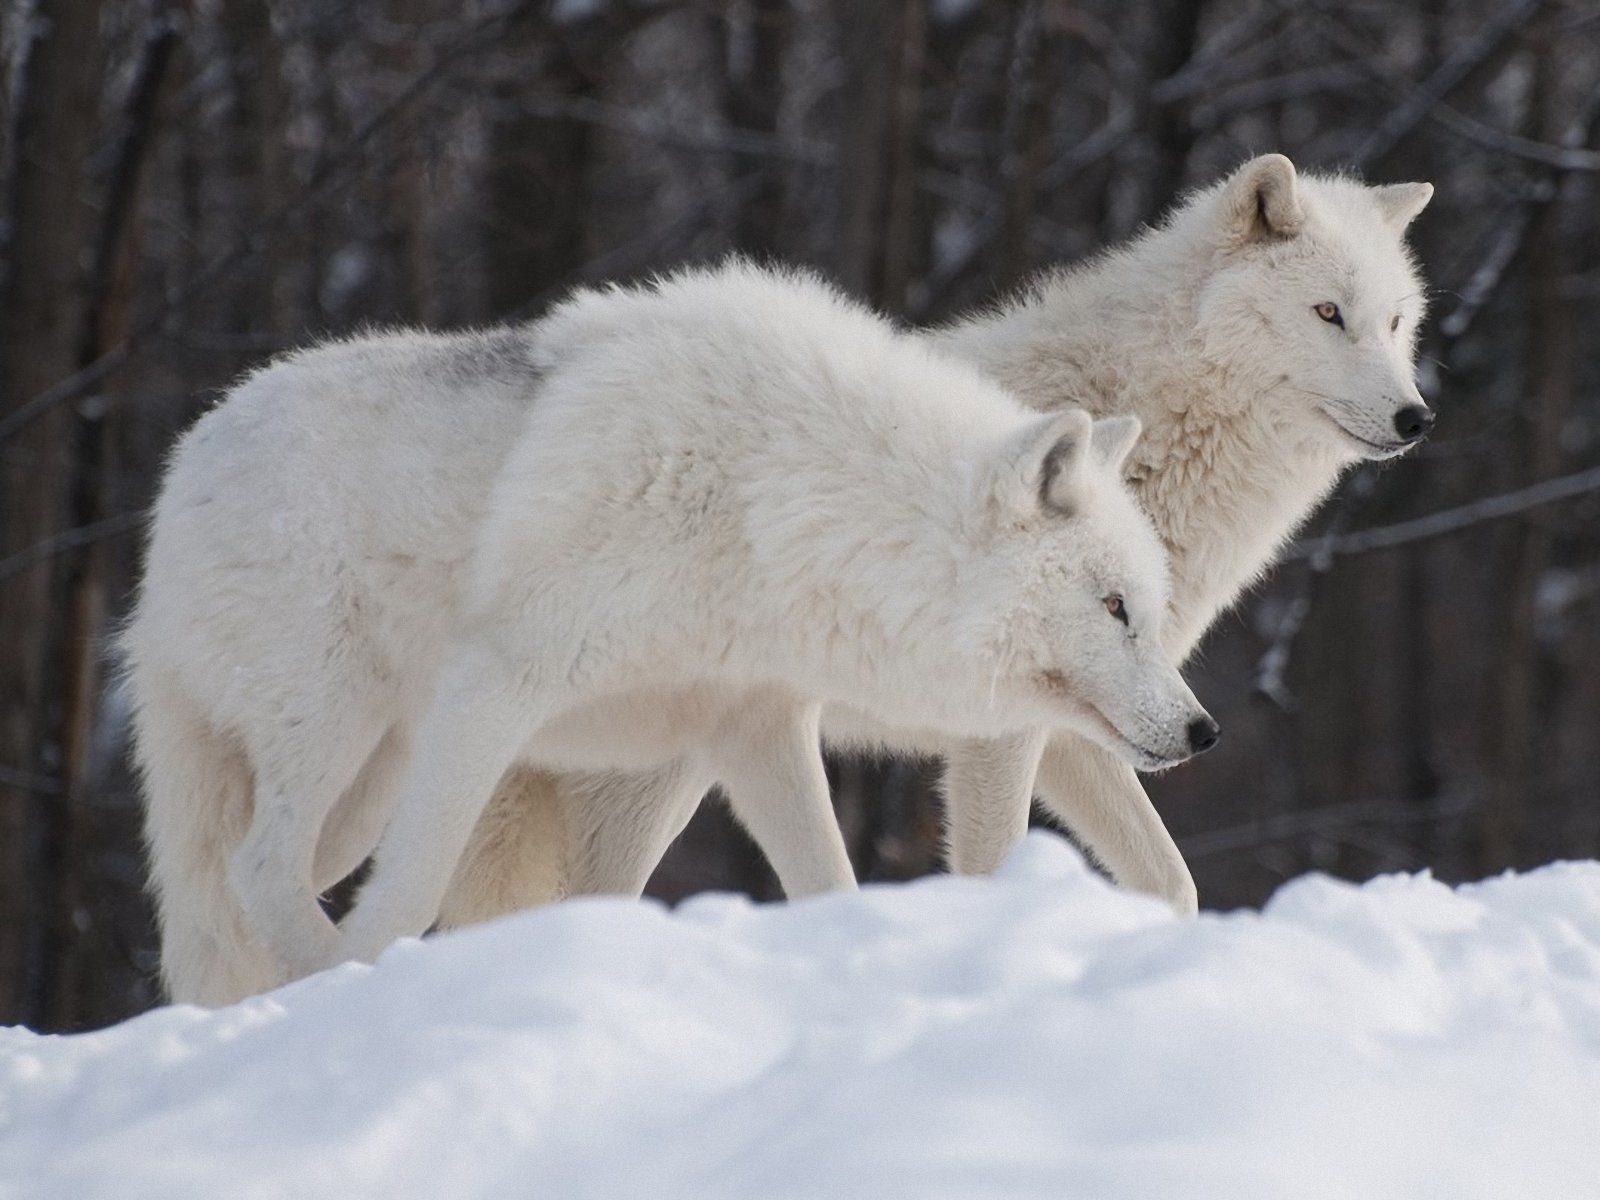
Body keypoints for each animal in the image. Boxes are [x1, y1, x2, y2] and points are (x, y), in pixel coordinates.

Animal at [123, 261, 1214, 1002]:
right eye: (1114, 608)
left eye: (1146, 609)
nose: (1204, 731)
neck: (771, 498)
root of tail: (184, 463)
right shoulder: (497, 687)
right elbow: (412, 892)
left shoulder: (754, 730)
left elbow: (828, 883)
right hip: (337, 734)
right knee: (260, 873)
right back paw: (318, 983)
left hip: (362, 784)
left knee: (242, 889)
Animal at [443, 153, 1434, 924]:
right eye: (1328, 313)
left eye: (1395, 321)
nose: (1415, 417)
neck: (1155, 426)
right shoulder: (1004, 735)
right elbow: (995, 867)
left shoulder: (1090, 729)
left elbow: (1175, 884)